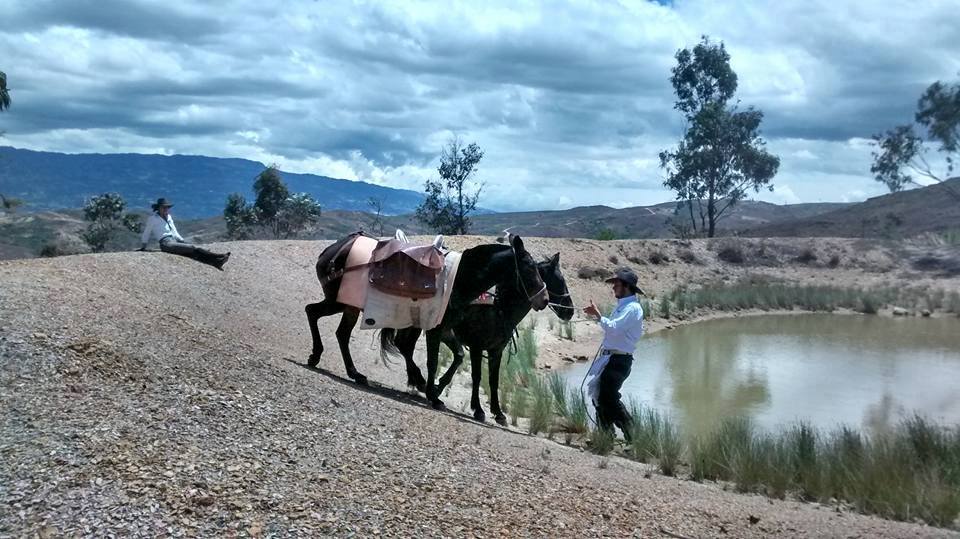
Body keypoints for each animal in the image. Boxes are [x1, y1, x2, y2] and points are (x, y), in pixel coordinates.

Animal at [308, 233, 548, 410]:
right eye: (529, 266)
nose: (544, 299)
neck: (459, 279)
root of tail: (334, 250)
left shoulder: (445, 329)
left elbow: (452, 356)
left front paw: (431, 389)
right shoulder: (437, 329)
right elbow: (433, 361)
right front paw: (434, 396)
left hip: (347, 305)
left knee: (333, 327)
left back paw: (350, 371)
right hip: (339, 302)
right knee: (317, 315)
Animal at [382, 253, 576, 426]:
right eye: (559, 281)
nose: (570, 311)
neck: (499, 308)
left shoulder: (496, 351)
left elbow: (493, 380)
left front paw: (498, 413)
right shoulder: (477, 346)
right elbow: (477, 376)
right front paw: (478, 409)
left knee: (408, 347)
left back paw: (419, 382)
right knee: (405, 346)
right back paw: (421, 382)